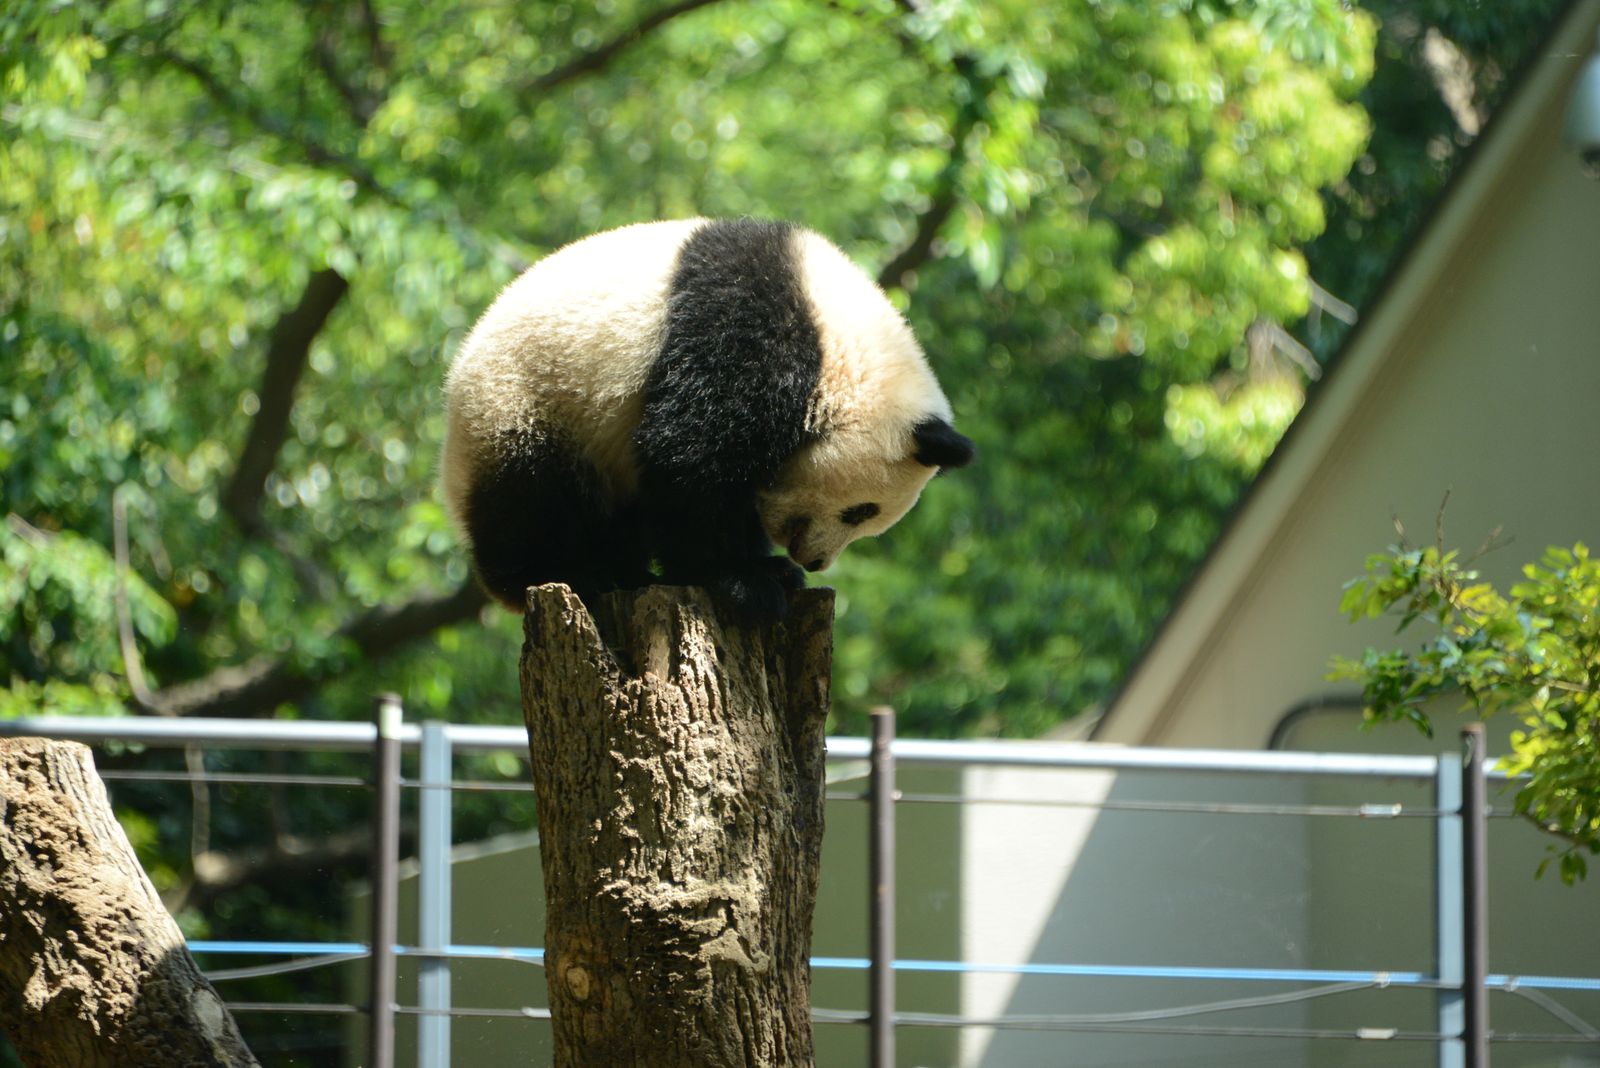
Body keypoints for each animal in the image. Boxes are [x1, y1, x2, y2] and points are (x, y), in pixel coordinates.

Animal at [435, 217, 972, 617]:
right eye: (862, 510)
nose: (816, 560)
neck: (843, 351)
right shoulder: (746, 329)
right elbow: (691, 456)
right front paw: (742, 583)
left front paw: (774, 571)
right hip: (526, 407)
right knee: (535, 499)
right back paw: (571, 572)